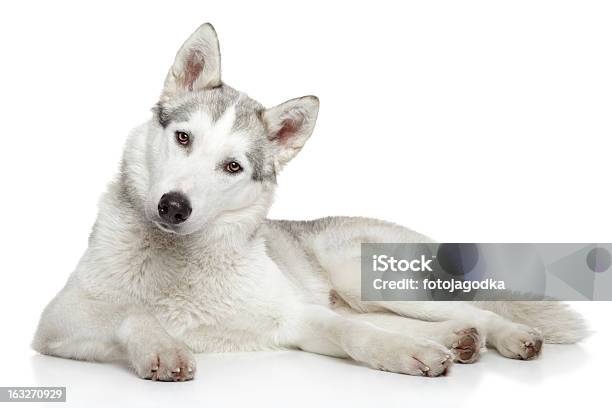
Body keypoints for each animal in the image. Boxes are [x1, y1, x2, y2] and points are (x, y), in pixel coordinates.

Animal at [33, 22, 588, 380]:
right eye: (184, 138)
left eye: (232, 167)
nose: (173, 206)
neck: (185, 264)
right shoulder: (57, 319)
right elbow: (131, 312)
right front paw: (163, 347)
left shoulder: (297, 318)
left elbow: (353, 335)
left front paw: (401, 353)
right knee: (418, 318)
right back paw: (458, 338)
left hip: (365, 277)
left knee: (470, 311)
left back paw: (503, 336)